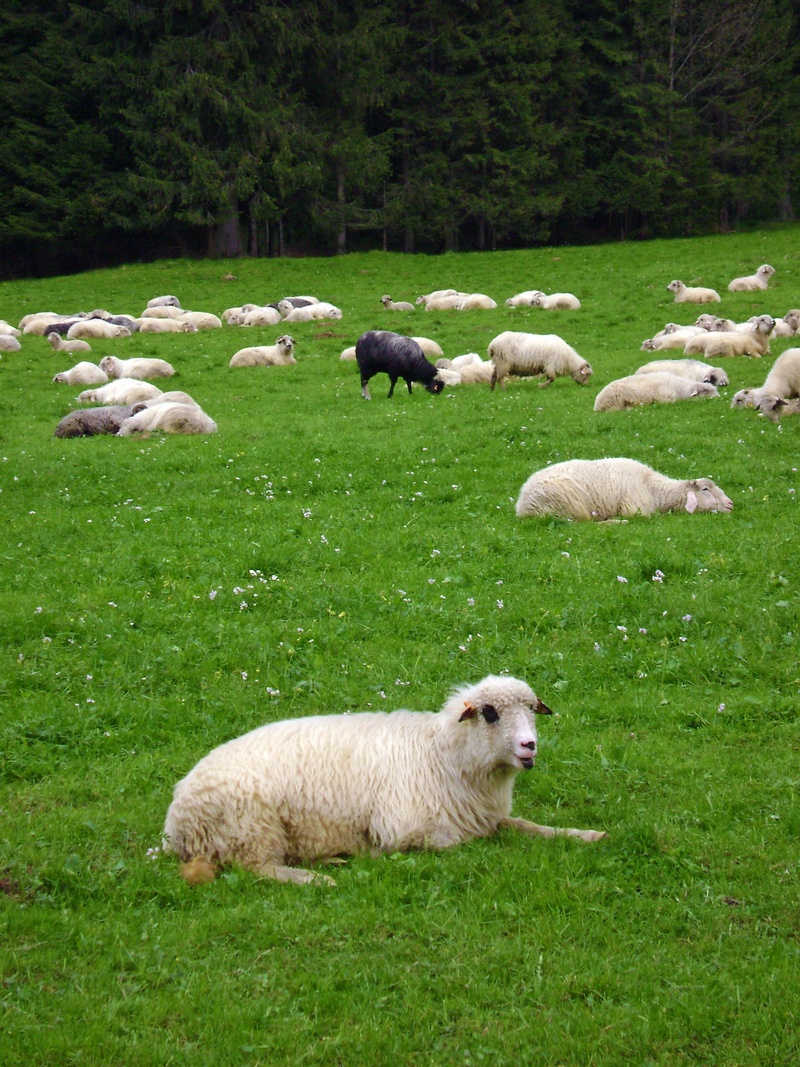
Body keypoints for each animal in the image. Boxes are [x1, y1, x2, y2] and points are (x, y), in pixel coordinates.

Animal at [162, 674, 605, 886]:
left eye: (532, 710)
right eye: (491, 713)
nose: (530, 746)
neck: (441, 754)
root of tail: (175, 825)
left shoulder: (485, 815)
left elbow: (526, 825)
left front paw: (586, 835)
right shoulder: (405, 825)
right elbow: (456, 841)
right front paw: (374, 853)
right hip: (251, 828)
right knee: (258, 869)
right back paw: (315, 877)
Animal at [515, 458, 733, 521]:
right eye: (705, 489)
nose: (731, 504)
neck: (653, 488)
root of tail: (522, 504)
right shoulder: (635, 508)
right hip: (571, 505)